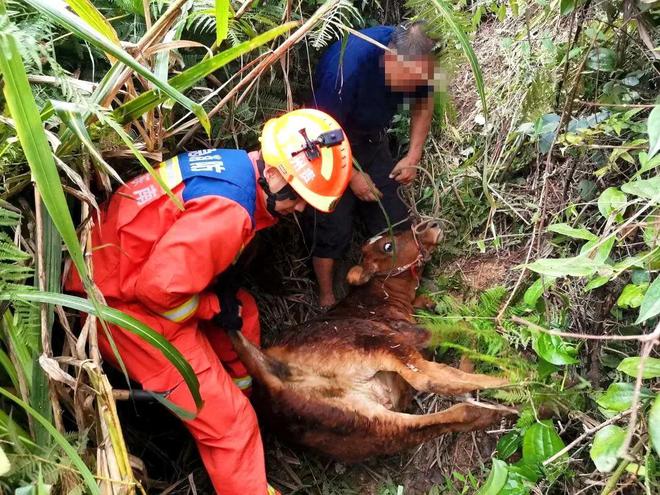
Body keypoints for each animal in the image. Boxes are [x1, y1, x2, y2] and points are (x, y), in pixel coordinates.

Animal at [229, 223, 512, 464]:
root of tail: (270, 378)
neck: (383, 297)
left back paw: (495, 410)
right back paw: (513, 379)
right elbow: (462, 326)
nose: (430, 226)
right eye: (387, 246)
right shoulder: (411, 332)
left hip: (369, 429)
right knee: (430, 377)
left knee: (443, 417)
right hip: (374, 340)